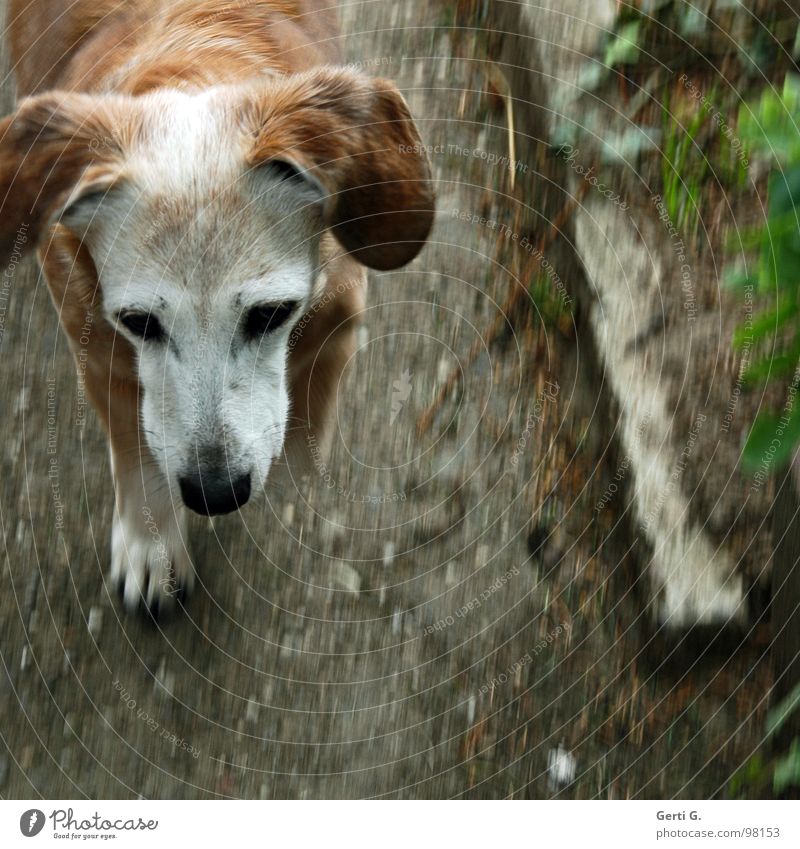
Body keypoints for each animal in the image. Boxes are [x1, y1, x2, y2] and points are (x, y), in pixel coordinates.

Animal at [0, 3, 434, 616]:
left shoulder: (340, 305)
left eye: (271, 314)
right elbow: (137, 450)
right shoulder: (99, 348)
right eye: (139, 322)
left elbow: (310, 405)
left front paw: (301, 461)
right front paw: (151, 545)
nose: (216, 494)